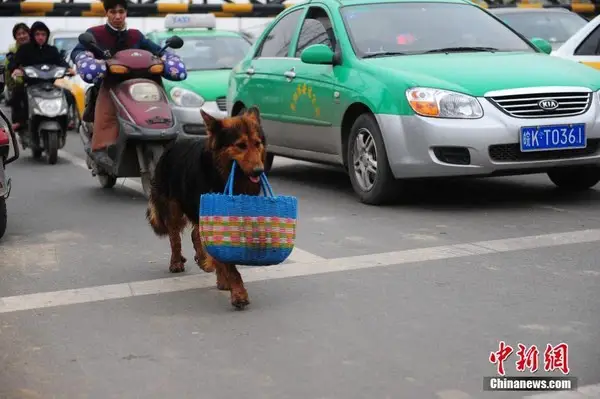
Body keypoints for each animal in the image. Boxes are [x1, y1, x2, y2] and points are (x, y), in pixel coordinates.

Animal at [145, 107, 268, 310]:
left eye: (257, 144)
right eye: (241, 145)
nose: (259, 171)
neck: (222, 175)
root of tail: (172, 145)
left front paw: (225, 280)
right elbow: (227, 263)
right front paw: (239, 293)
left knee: (196, 235)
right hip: (173, 208)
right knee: (174, 237)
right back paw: (176, 262)